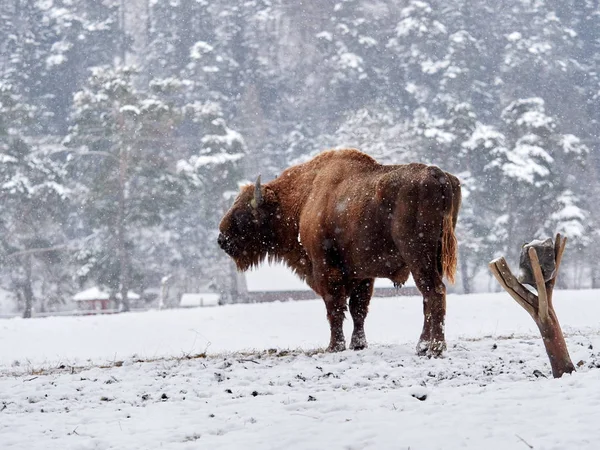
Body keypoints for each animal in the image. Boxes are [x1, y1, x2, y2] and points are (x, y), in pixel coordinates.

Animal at [218, 149, 462, 356]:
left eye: (242, 213)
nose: (222, 240)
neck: (304, 198)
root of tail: (436, 173)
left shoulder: (324, 268)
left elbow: (334, 307)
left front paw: (334, 347)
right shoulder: (363, 274)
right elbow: (358, 309)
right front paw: (358, 344)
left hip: (418, 257)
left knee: (434, 292)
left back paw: (434, 348)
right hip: (433, 260)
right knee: (427, 298)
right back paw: (422, 346)